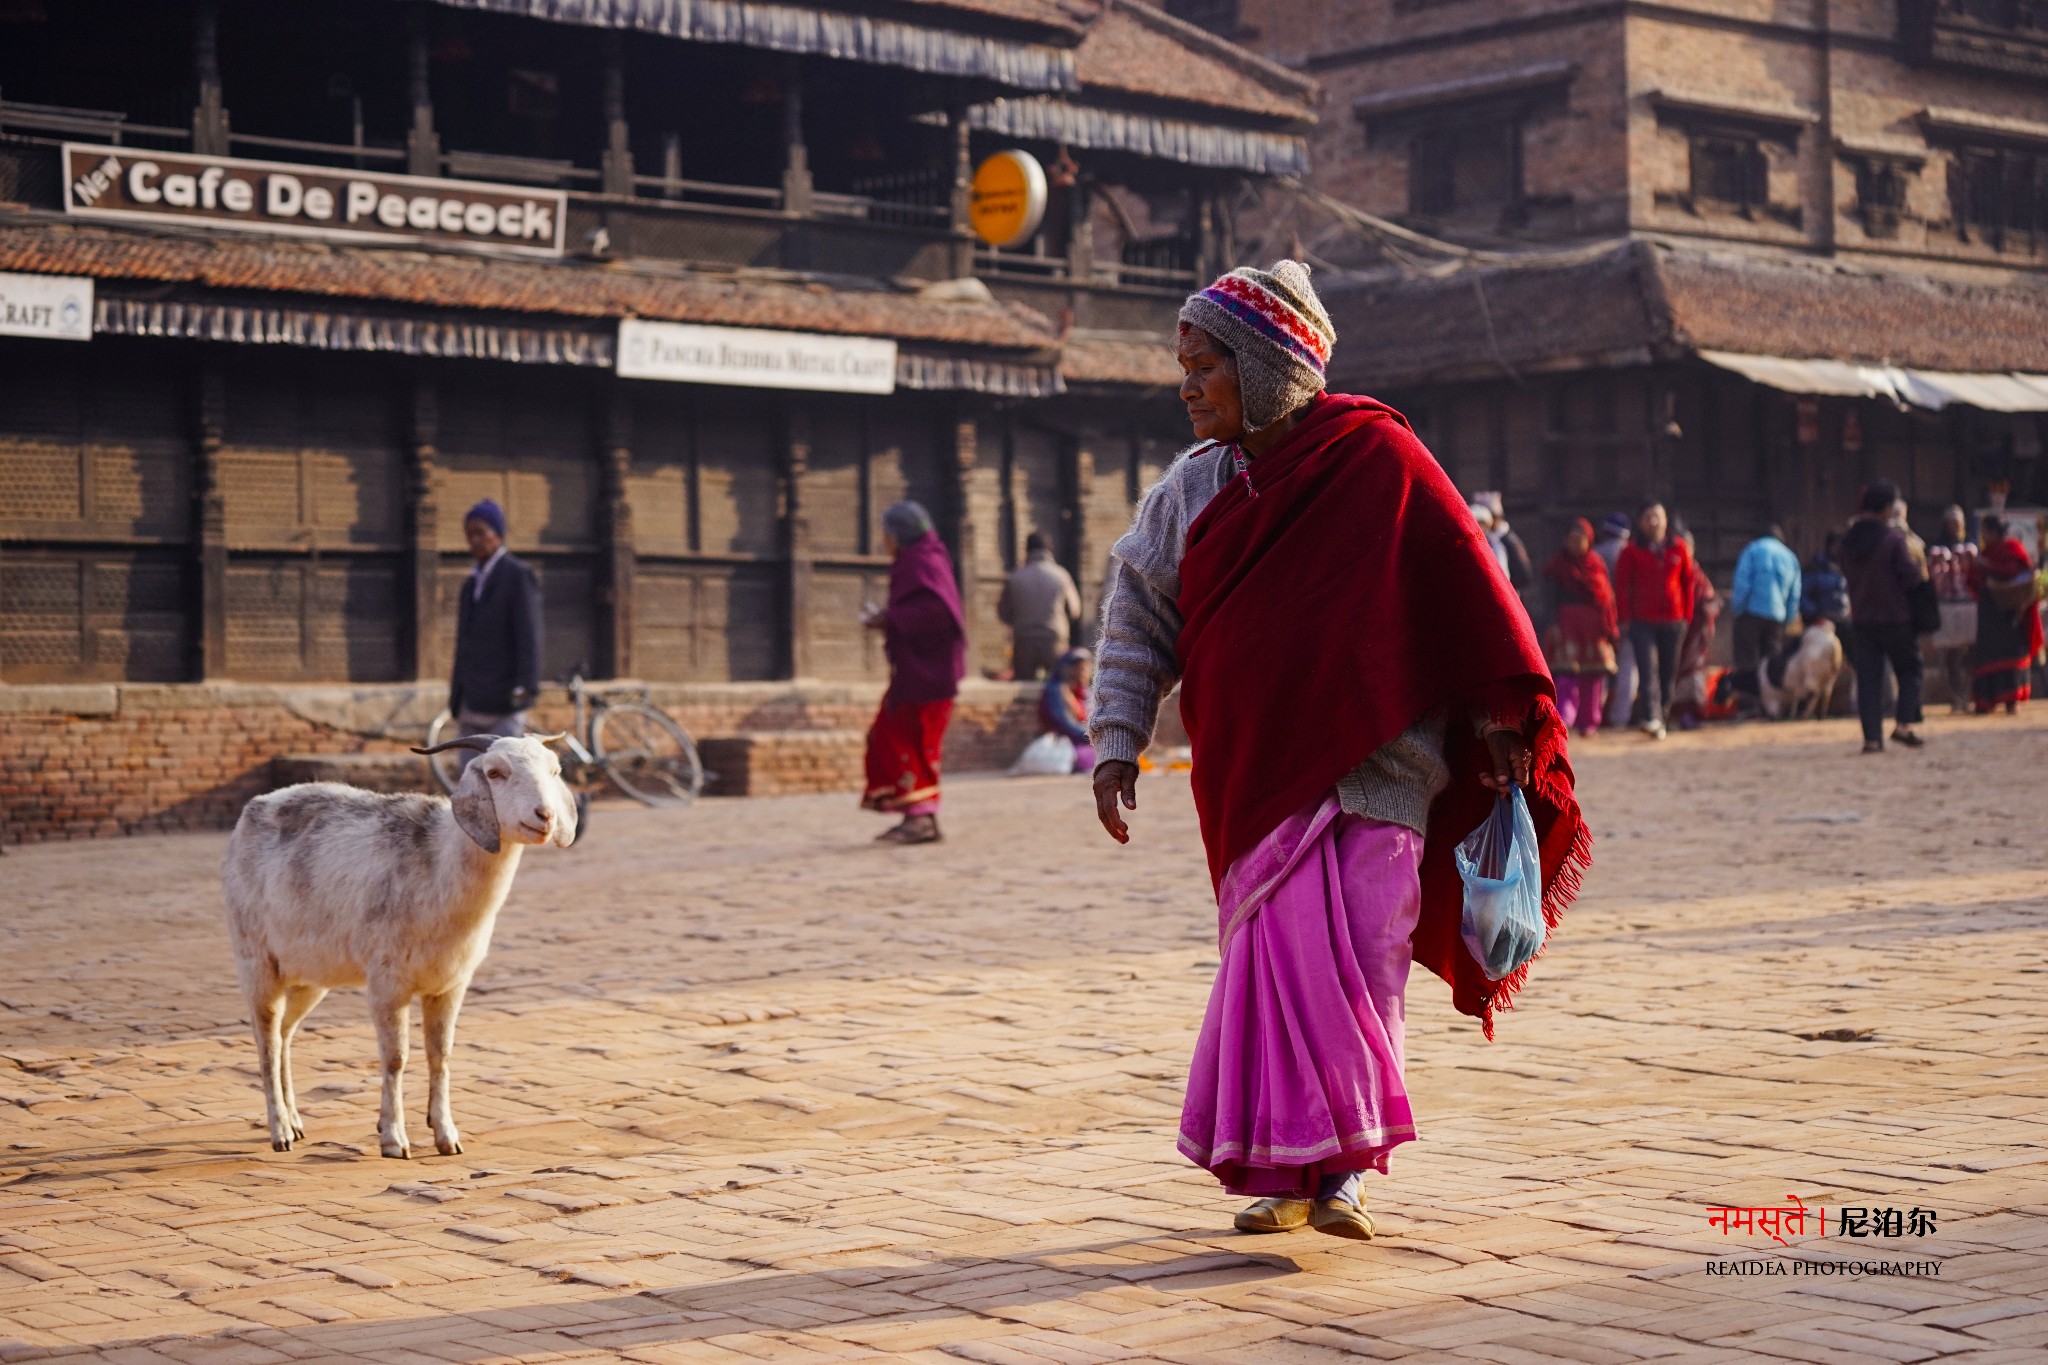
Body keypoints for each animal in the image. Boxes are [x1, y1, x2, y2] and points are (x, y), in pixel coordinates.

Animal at [222, 740, 577, 1162]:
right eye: (495, 772)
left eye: (555, 771)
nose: (545, 816)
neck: (439, 866)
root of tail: (252, 809)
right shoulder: (387, 984)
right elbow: (396, 1058)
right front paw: (393, 1140)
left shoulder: (450, 985)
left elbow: (440, 1055)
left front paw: (446, 1137)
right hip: (257, 962)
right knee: (267, 1041)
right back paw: (280, 1134)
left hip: (310, 976)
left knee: (285, 1035)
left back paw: (295, 1123)